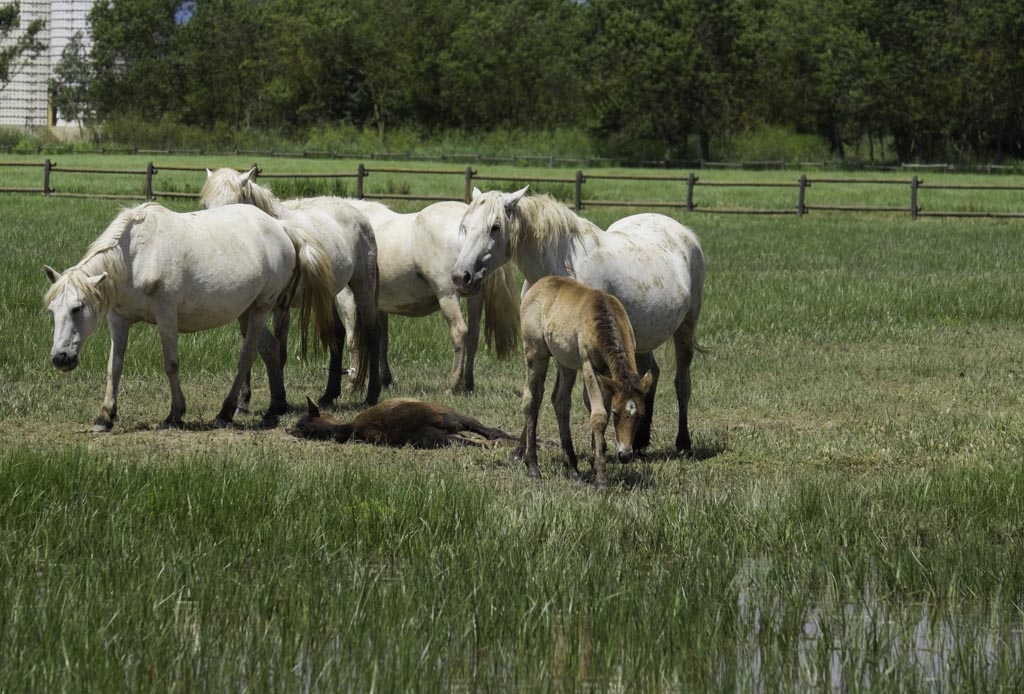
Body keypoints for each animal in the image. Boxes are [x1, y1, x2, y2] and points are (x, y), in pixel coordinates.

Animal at [44, 201, 335, 431]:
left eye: (77, 307)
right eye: (52, 311)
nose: (61, 358)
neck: (135, 256)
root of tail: (281, 227)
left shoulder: (166, 316)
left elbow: (171, 364)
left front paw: (175, 414)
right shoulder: (118, 319)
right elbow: (113, 367)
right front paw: (105, 417)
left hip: (261, 309)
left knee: (248, 356)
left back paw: (226, 412)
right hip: (246, 310)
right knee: (270, 349)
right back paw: (276, 406)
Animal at [197, 168, 382, 407]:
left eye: (234, 203)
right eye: (204, 205)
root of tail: (357, 214)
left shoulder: (281, 308)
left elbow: (278, 351)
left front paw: (277, 399)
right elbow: (249, 345)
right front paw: (243, 400)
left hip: (363, 285)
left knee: (372, 331)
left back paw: (372, 394)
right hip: (326, 295)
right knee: (337, 333)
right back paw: (329, 395)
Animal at [335, 199, 520, 397]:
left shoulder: (348, 298)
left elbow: (353, 341)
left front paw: (352, 384)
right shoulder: (379, 306)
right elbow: (381, 340)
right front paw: (385, 380)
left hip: (447, 295)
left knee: (460, 332)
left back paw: (453, 385)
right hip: (474, 296)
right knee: (473, 335)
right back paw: (468, 384)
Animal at [454, 186, 704, 456]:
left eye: (495, 227)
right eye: (465, 226)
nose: (461, 277)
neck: (560, 269)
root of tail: (685, 233)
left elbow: (591, 399)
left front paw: (599, 449)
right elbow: (538, 394)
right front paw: (522, 450)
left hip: (685, 330)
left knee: (682, 383)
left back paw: (683, 443)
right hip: (639, 340)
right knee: (650, 376)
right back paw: (640, 441)